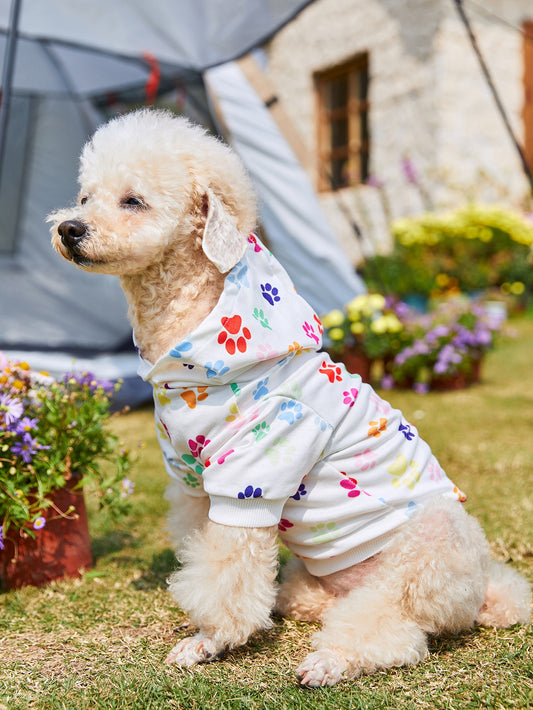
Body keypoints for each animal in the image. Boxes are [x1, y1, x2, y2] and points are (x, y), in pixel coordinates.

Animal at [48, 111, 528, 688]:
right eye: (84, 196)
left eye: (133, 200)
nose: (68, 229)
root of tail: (484, 593)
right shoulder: (192, 483)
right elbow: (202, 555)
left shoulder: (250, 475)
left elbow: (227, 573)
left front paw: (209, 642)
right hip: (318, 582)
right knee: (318, 602)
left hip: (427, 548)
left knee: (394, 627)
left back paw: (329, 661)